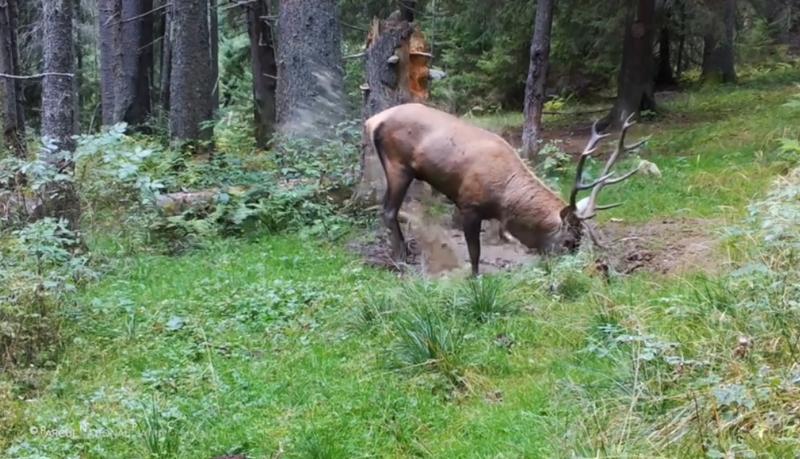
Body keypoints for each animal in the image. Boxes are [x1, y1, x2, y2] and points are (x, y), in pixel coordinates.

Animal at [364, 103, 644, 276]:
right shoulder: (468, 204)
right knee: (388, 210)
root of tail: (372, 120)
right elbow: (475, 252)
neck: (503, 201)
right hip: (398, 165)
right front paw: (474, 278)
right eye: (567, 242)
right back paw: (401, 258)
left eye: (580, 242)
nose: (575, 269)